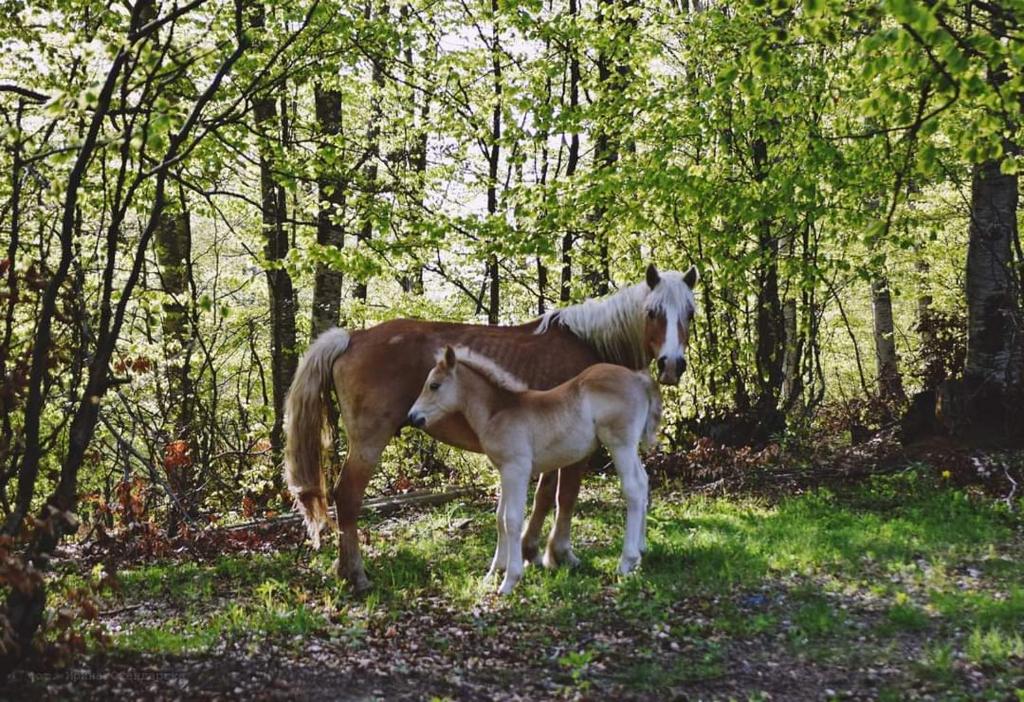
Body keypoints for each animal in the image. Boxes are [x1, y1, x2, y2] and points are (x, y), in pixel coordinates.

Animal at [407, 345, 663, 593]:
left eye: (434, 385)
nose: (413, 417)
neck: (498, 411)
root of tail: (638, 378)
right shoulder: (504, 471)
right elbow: (499, 517)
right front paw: (494, 572)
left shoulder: (517, 469)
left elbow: (512, 520)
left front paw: (509, 580)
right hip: (630, 447)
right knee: (643, 482)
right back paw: (641, 551)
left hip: (620, 445)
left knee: (633, 489)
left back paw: (626, 561)